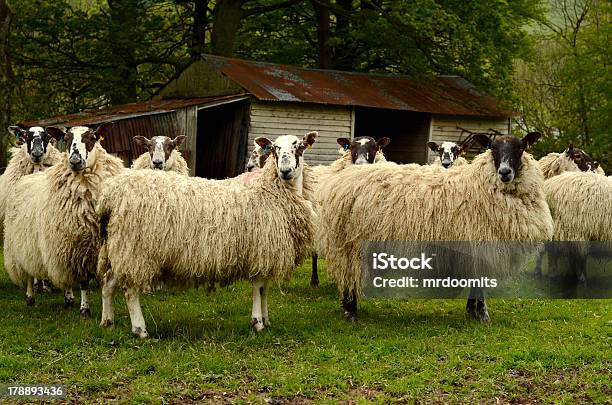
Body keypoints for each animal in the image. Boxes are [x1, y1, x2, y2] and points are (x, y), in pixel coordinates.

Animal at [3, 123, 124, 312]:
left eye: (92, 138)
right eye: (66, 139)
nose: (74, 161)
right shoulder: (76, 246)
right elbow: (83, 281)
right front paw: (84, 309)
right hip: (24, 245)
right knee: (29, 271)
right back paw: (31, 296)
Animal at [98, 131, 318, 336]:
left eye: (299, 147)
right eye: (274, 149)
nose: (285, 171)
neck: (270, 189)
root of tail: (111, 194)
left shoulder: (268, 254)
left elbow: (265, 289)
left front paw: (266, 320)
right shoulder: (260, 250)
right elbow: (258, 288)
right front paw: (257, 323)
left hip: (121, 248)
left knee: (108, 283)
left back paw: (107, 322)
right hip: (135, 249)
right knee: (130, 290)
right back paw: (140, 329)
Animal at [318, 133, 552, 322]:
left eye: (521, 148)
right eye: (492, 148)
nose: (504, 172)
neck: (480, 183)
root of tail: (344, 178)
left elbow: (475, 281)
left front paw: (471, 311)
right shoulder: (484, 244)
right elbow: (481, 284)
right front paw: (483, 315)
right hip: (351, 244)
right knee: (349, 276)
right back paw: (350, 311)